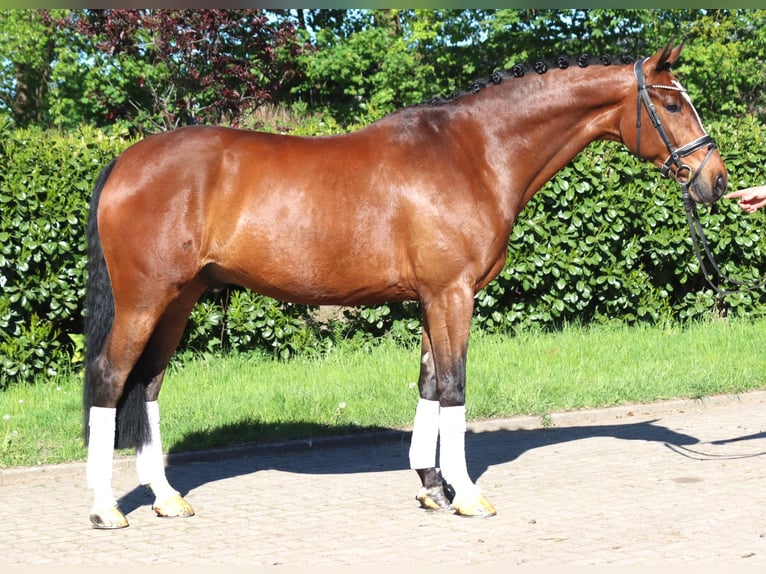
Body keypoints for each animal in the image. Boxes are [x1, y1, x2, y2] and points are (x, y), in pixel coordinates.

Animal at [83, 42, 727, 528]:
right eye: (672, 103)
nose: (715, 180)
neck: (476, 153)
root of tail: (124, 162)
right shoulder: (452, 294)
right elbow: (455, 386)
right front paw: (467, 494)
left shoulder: (430, 299)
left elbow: (429, 383)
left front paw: (431, 485)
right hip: (146, 301)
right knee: (112, 380)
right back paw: (106, 508)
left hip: (178, 302)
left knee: (147, 385)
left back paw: (166, 499)